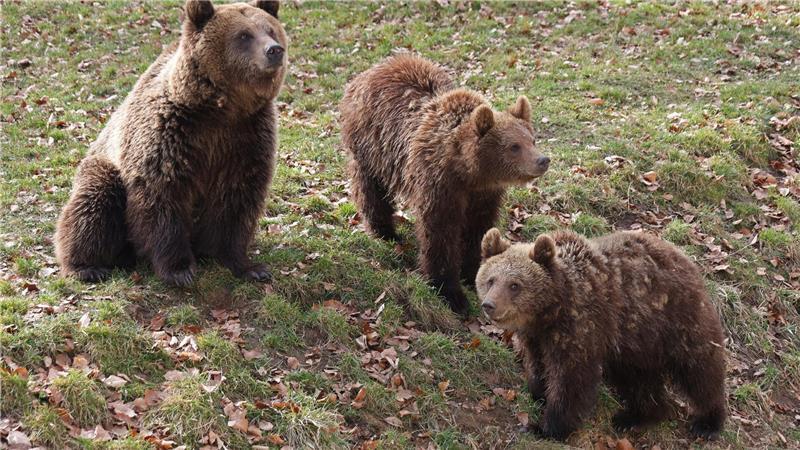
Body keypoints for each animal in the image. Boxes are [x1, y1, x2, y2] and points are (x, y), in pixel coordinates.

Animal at [55, 0, 287, 287]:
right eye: (244, 35)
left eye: (271, 30)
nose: (274, 50)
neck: (221, 110)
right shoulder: (169, 134)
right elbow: (162, 196)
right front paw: (179, 270)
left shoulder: (246, 137)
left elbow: (237, 198)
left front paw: (249, 266)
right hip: (103, 165)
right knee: (93, 201)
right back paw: (85, 266)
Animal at [339, 54, 549, 314]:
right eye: (514, 146)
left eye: (532, 139)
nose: (542, 160)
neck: (468, 171)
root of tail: (368, 71)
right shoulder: (438, 184)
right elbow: (440, 233)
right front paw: (451, 293)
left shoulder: (484, 194)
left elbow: (478, 228)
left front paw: (473, 271)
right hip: (372, 145)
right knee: (371, 190)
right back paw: (384, 232)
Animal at [476, 228, 727, 440]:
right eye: (490, 279)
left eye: (515, 285)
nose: (489, 305)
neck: (550, 310)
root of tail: (687, 260)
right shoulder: (537, 337)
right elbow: (538, 365)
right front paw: (539, 393)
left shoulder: (581, 326)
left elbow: (572, 379)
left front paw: (546, 427)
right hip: (635, 344)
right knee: (638, 379)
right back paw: (634, 417)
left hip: (677, 322)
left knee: (699, 370)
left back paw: (708, 422)